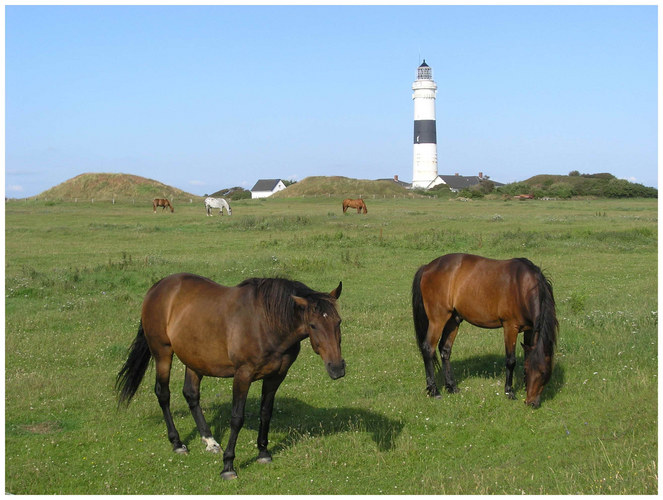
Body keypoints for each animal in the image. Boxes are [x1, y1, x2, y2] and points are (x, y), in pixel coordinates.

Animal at [116, 274, 344, 480]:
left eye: (338, 322)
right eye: (313, 325)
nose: (337, 368)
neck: (265, 323)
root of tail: (158, 287)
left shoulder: (276, 376)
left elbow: (266, 413)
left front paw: (263, 452)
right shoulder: (243, 375)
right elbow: (236, 418)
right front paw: (228, 465)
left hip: (194, 358)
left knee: (191, 394)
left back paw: (209, 441)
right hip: (162, 353)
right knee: (163, 394)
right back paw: (177, 443)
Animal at [412, 252, 556, 408]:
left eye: (544, 372)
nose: (531, 403)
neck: (522, 286)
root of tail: (427, 267)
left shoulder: (530, 329)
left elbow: (526, 356)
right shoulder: (510, 327)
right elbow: (511, 360)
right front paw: (509, 391)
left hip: (453, 320)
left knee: (445, 350)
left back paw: (451, 387)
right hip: (438, 320)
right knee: (428, 348)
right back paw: (434, 391)